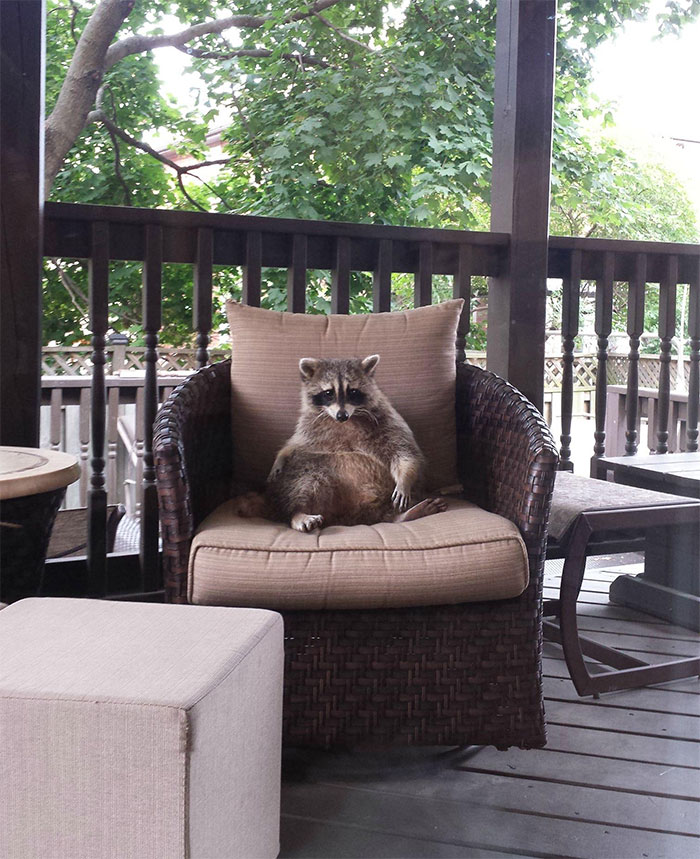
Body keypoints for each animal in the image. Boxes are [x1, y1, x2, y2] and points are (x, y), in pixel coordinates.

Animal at [264, 354, 446, 532]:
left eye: (352, 391)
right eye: (328, 393)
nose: (342, 415)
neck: (346, 421)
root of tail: (353, 518)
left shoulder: (387, 420)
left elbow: (404, 452)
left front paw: (405, 479)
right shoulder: (310, 426)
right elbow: (296, 444)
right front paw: (281, 455)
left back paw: (402, 515)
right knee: (305, 475)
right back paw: (297, 512)